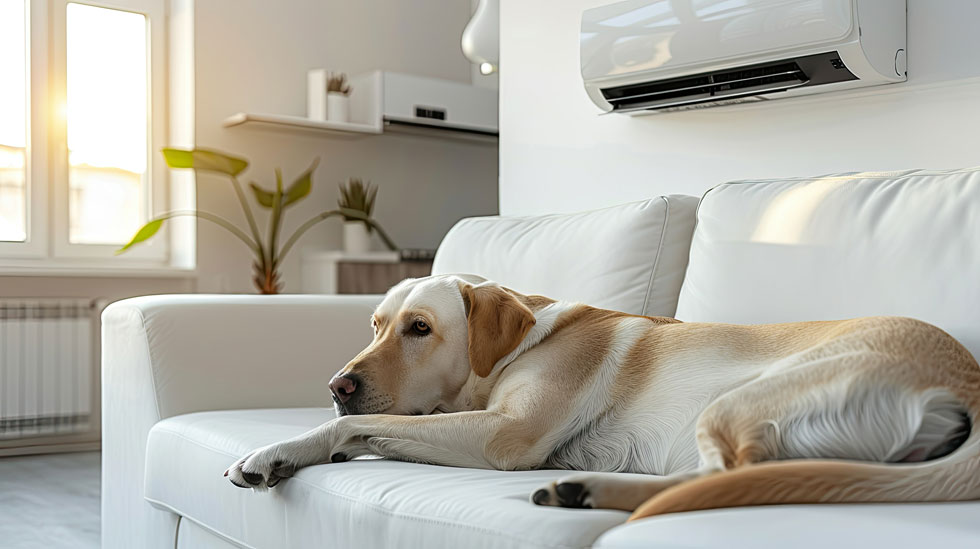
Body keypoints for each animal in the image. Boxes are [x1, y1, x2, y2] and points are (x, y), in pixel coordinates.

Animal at [224, 272, 980, 520]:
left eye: (420, 328)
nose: (337, 385)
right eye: (377, 325)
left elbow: (354, 429)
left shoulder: (504, 434)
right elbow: (364, 429)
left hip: (740, 400)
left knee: (721, 478)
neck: (522, 344)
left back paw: (589, 489)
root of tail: (966, 377)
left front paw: (277, 449)